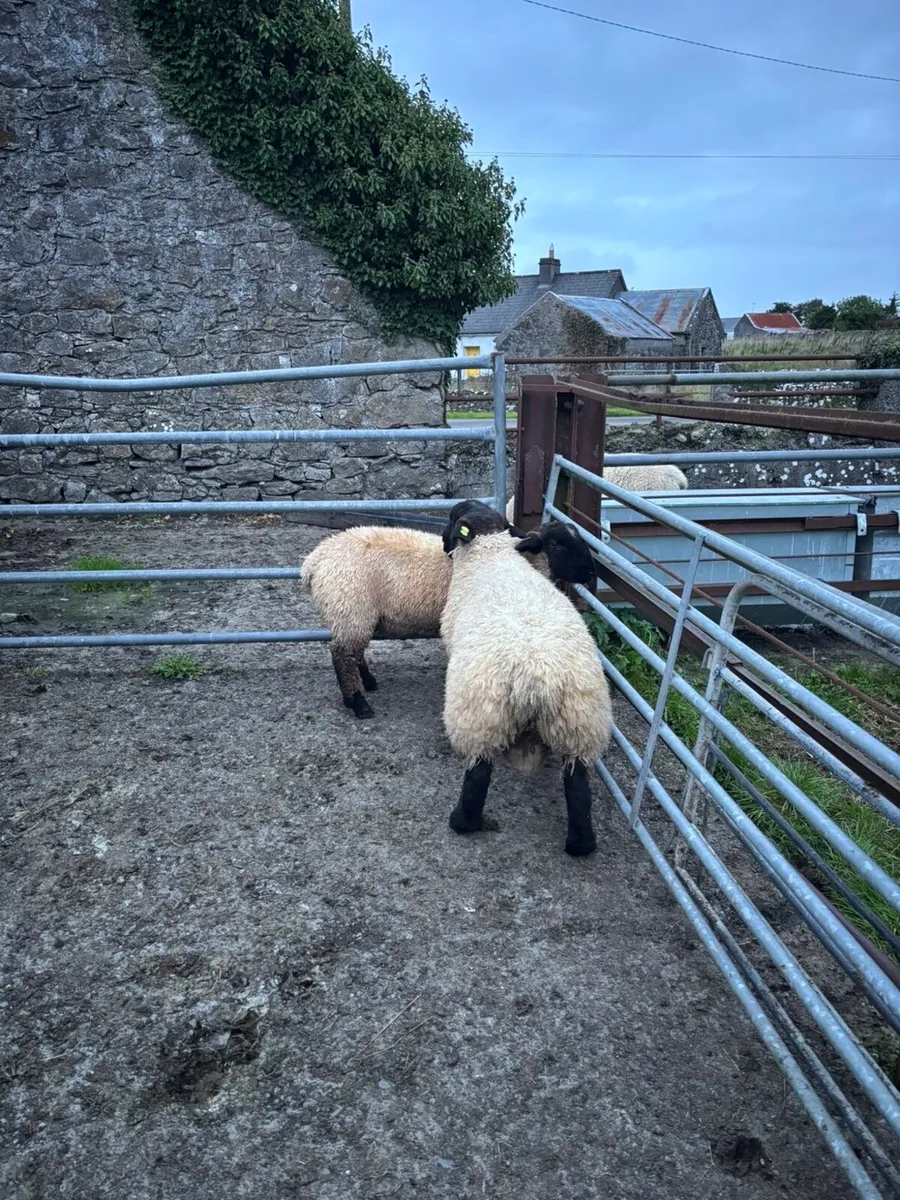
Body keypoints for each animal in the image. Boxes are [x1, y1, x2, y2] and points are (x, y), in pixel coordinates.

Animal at [301, 502, 595, 719]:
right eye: (556, 544)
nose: (591, 573)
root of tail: (314, 561)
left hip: (356, 615)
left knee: (354, 652)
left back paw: (368, 681)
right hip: (349, 607)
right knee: (342, 656)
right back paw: (358, 702)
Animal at [440, 502, 612, 857]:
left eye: (450, 519)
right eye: (558, 543)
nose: (591, 575)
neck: (491, 552)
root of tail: (538, 676)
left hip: (479, 715)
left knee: (478, 774)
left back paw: (464, 821)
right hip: (581, 721)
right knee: (577, 784)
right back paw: (580, 844)